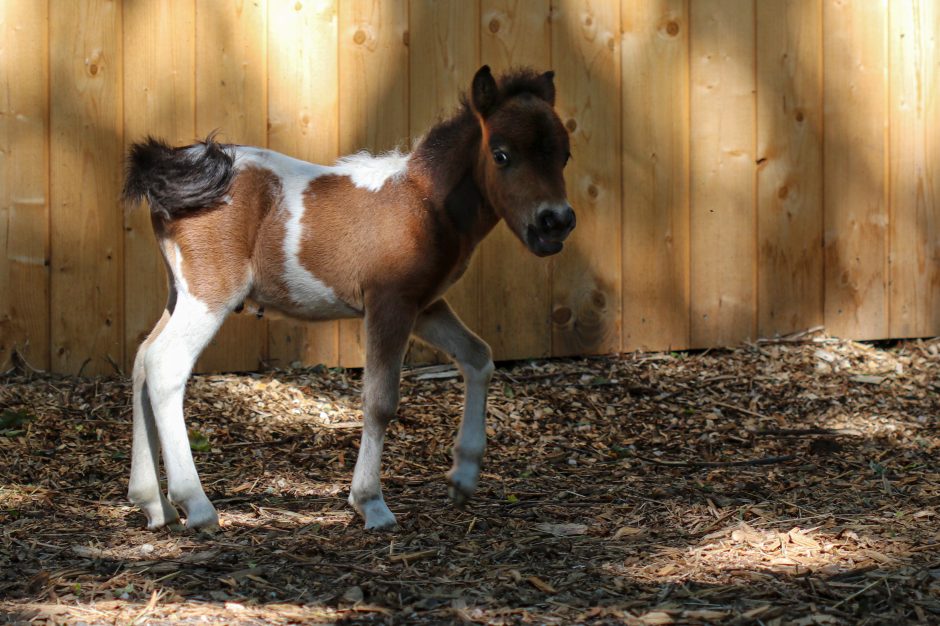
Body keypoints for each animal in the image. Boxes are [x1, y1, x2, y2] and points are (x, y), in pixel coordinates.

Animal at [121, 66, 576, 528]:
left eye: (564, 156)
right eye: (501, 155)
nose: (555, 222)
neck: (423, 205)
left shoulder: (425, 305)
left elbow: (478, 356)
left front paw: (463, 478)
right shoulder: (389, 303)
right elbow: (380, 401)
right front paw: (371, 502)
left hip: (179, 293)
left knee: (142, 360)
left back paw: (153, 504)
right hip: (210, 294)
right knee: (165, 364)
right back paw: (195, 504)